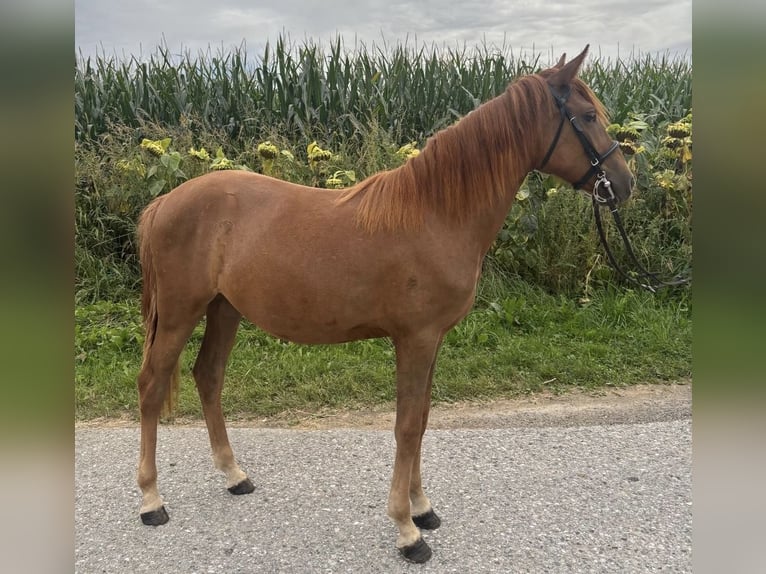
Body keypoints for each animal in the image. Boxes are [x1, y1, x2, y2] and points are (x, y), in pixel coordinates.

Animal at [134, 45, 633, 563]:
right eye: (588, 116)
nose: (623, 183)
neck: (437, 213)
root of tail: (163, 202)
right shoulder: (415, 339)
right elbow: (408, 427)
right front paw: (407, 530)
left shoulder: (432, 341)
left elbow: (424, 418)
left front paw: (423, 509)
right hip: (180, 312)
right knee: (151, 385)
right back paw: (152, 501)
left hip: (224, 309)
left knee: (208, 376)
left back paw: (235, 476)